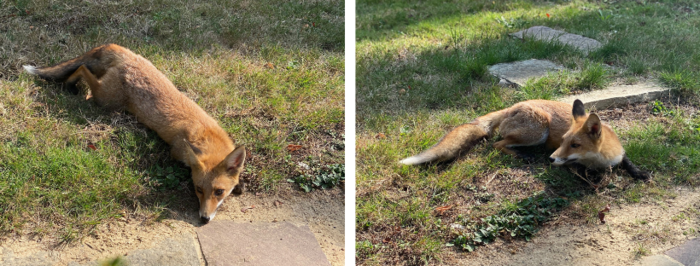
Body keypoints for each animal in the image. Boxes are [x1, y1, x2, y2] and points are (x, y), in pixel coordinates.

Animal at [23, 44, 246, 223]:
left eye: (219, 192)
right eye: (199, 189)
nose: (204, 219)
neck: (206, 134)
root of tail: (123, 53)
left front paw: (239, 185)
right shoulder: (176, 152)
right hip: (106, 99)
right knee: (82, 68)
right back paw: (70, 86)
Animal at [400, 98, 652, 182]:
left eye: (574, 144)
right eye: (563, 141)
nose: (550, 159)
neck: (600, 160)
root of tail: (512, 106)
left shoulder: (619, 153)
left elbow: (627, 162)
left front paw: (639, 173)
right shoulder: (572, 165)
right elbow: (582, 171)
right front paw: (595, 178)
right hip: (538, 130)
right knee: (497, 144)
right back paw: (521, 155)